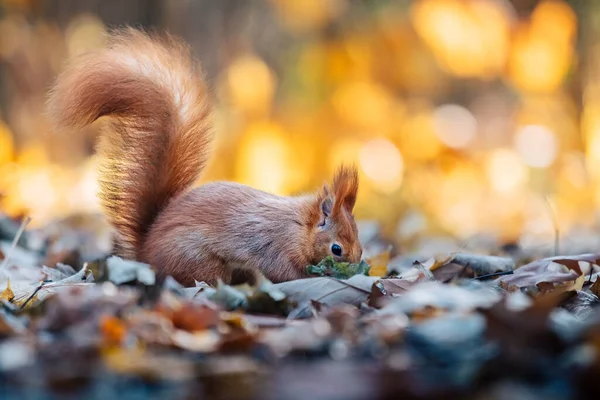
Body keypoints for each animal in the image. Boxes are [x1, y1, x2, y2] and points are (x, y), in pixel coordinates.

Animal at [45, 26, 360, 286]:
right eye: (336, 249)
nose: (358, 265)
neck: (297, 227)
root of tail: (146, 252)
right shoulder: (273, 246)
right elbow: (284, 270)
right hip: (197, 260)